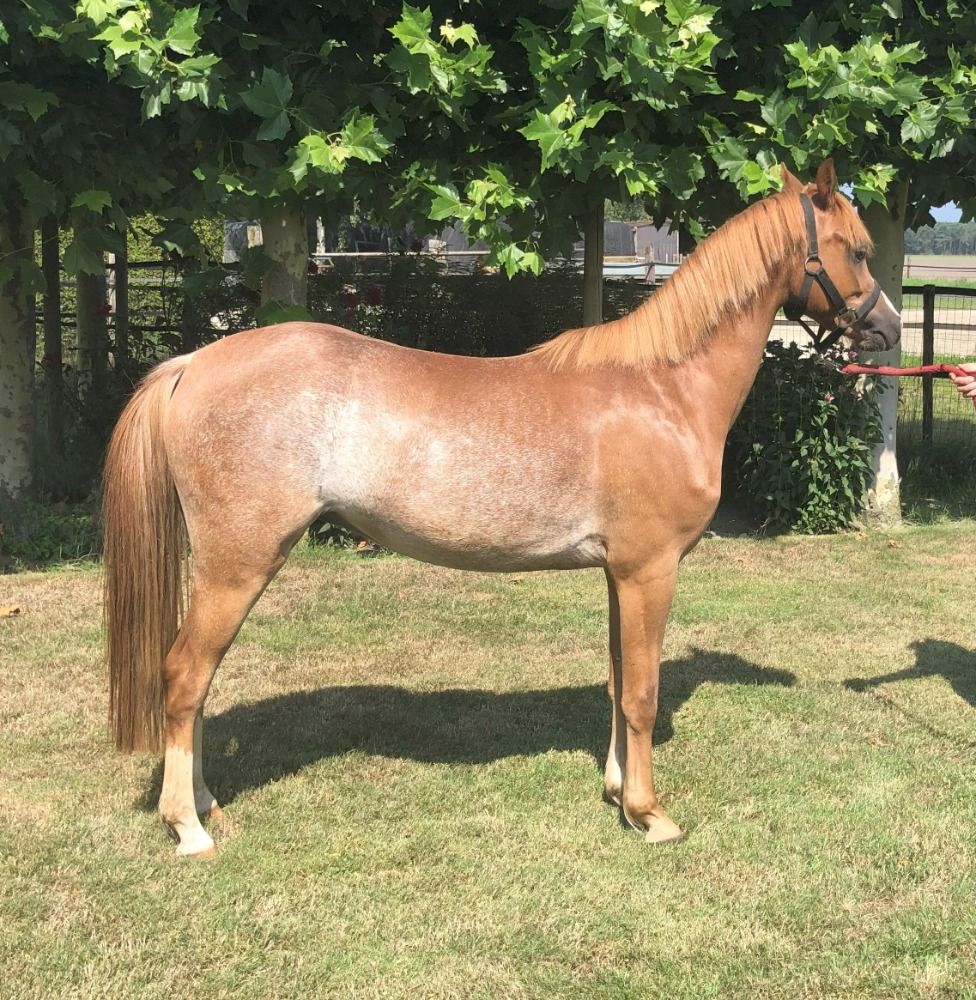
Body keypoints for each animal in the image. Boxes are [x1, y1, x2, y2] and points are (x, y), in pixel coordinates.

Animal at [103, 160, 900, 857]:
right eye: (859, 250)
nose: (889, 330)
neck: (663, 388)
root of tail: (194, 365)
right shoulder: (650, 570)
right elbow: (643, 691)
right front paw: (650, 815)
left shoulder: (617, 574)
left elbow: (617, 682)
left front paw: (617, 793)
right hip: (237, 564)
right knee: (185, 677)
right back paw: (188, 826)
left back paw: (205, 804)